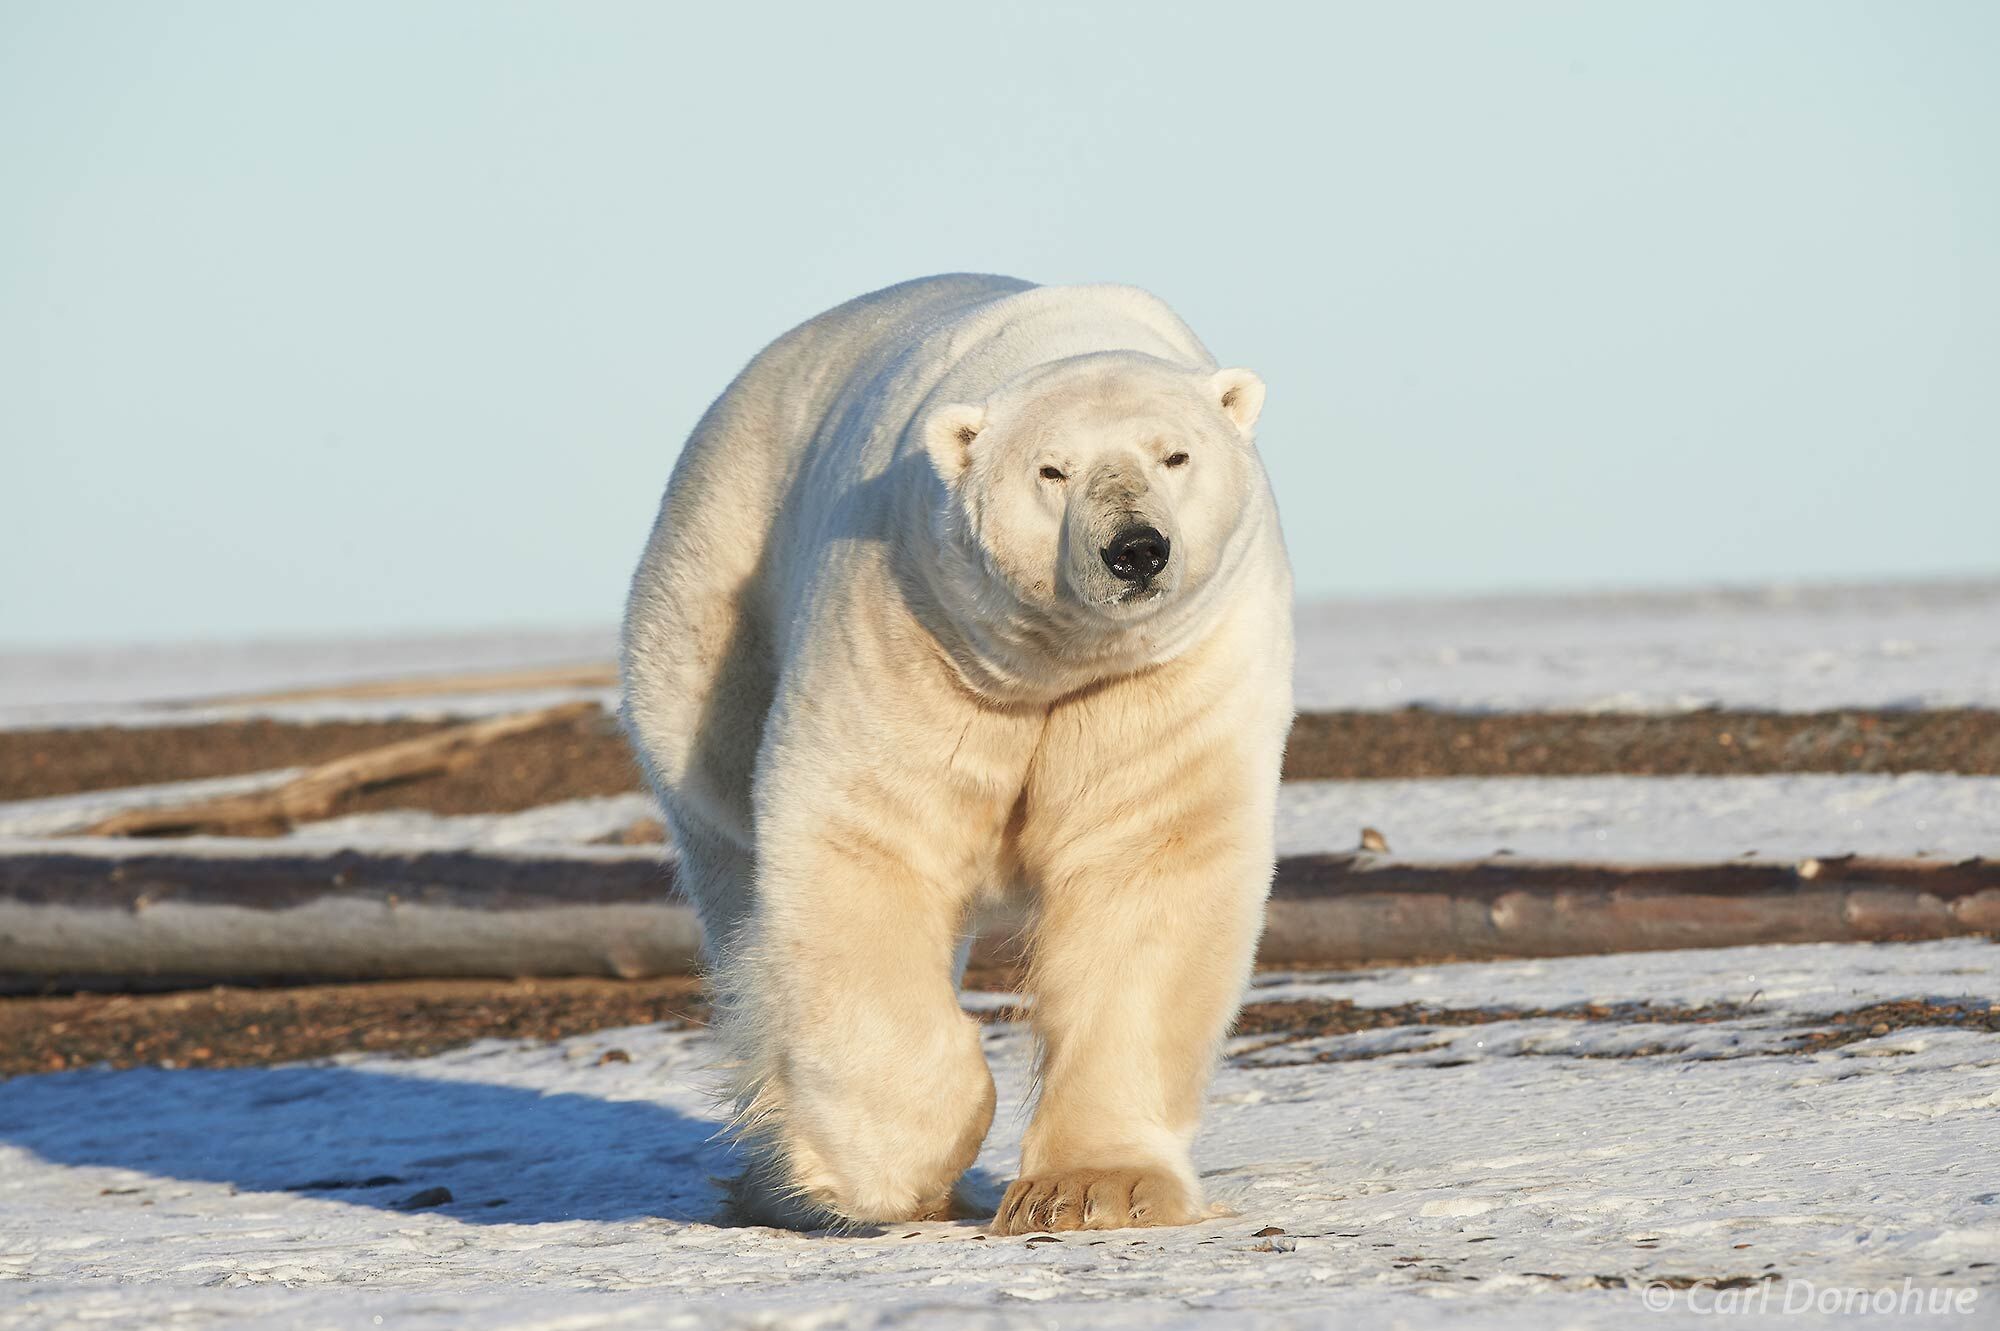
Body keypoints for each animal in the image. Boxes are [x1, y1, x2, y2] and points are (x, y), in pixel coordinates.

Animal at [616, 271, 1288, 1231]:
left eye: (1175, 456)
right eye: (1052, 469)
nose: (1135, 550)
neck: (1055, 659)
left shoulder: (1166, 670)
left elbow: (1145, 861)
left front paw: (1092, 1189)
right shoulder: (912, 623)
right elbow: (873, 835)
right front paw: (895, 1165)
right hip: (712, 599)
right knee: (734, 872)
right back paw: (777, 1175)